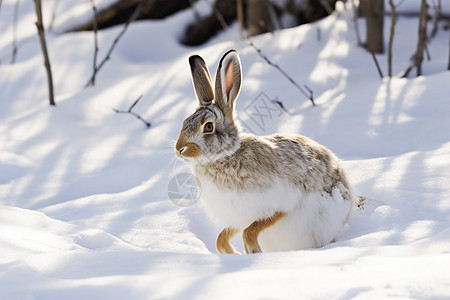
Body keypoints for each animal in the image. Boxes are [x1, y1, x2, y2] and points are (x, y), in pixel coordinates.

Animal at [174, 48, 356, 253]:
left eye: (208, 127)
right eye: (185, 122)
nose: (179, 149)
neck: (225, 155)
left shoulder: (280, 204)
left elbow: (251, 230)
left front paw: (253, 251)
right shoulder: (238, 217)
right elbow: (222, 237)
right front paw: (232, 253)